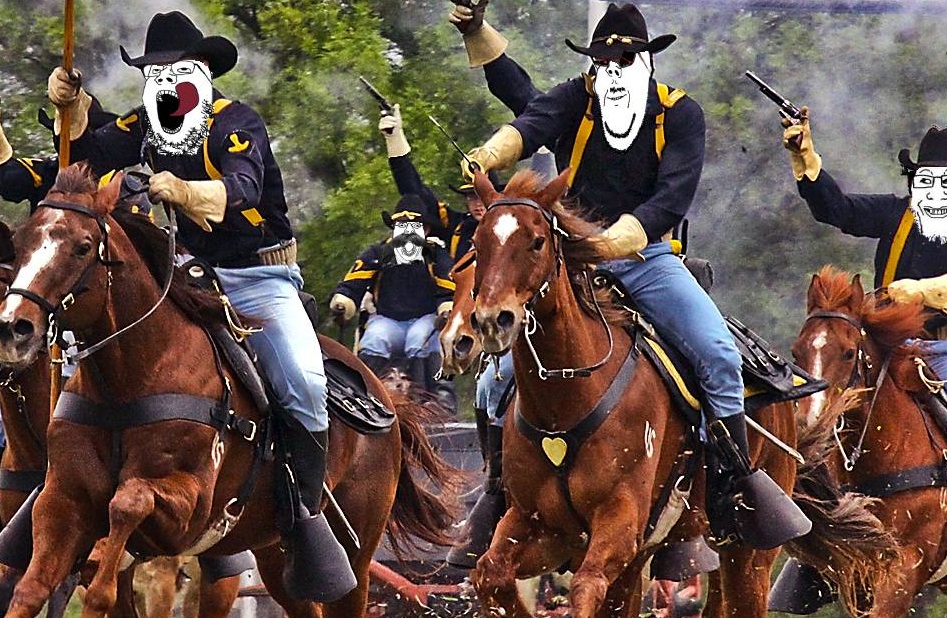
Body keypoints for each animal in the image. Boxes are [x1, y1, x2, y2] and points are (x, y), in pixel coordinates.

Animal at [0, 164, 456, 618]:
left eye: (82, 246)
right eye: (20, 244)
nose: (14, 328)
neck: (128, 381)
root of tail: (384, 401)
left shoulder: (188, 510)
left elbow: (127, 504)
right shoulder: (62, 502)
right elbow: (30, 589)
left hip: (354, 563)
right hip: (276, 558)